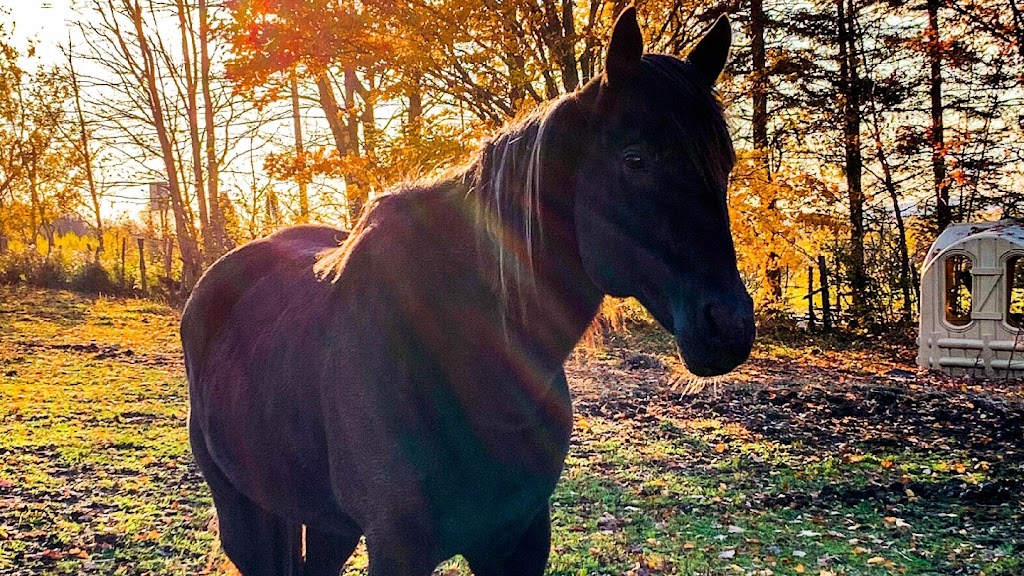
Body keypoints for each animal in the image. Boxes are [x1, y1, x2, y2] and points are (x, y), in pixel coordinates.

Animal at [184, 10, 753, 573]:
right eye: (635, 159)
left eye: (726, 162)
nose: (730, 326)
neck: (464, 359)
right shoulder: (398, 543)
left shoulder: (520, 537)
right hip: (246, 512)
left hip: (328, 523)